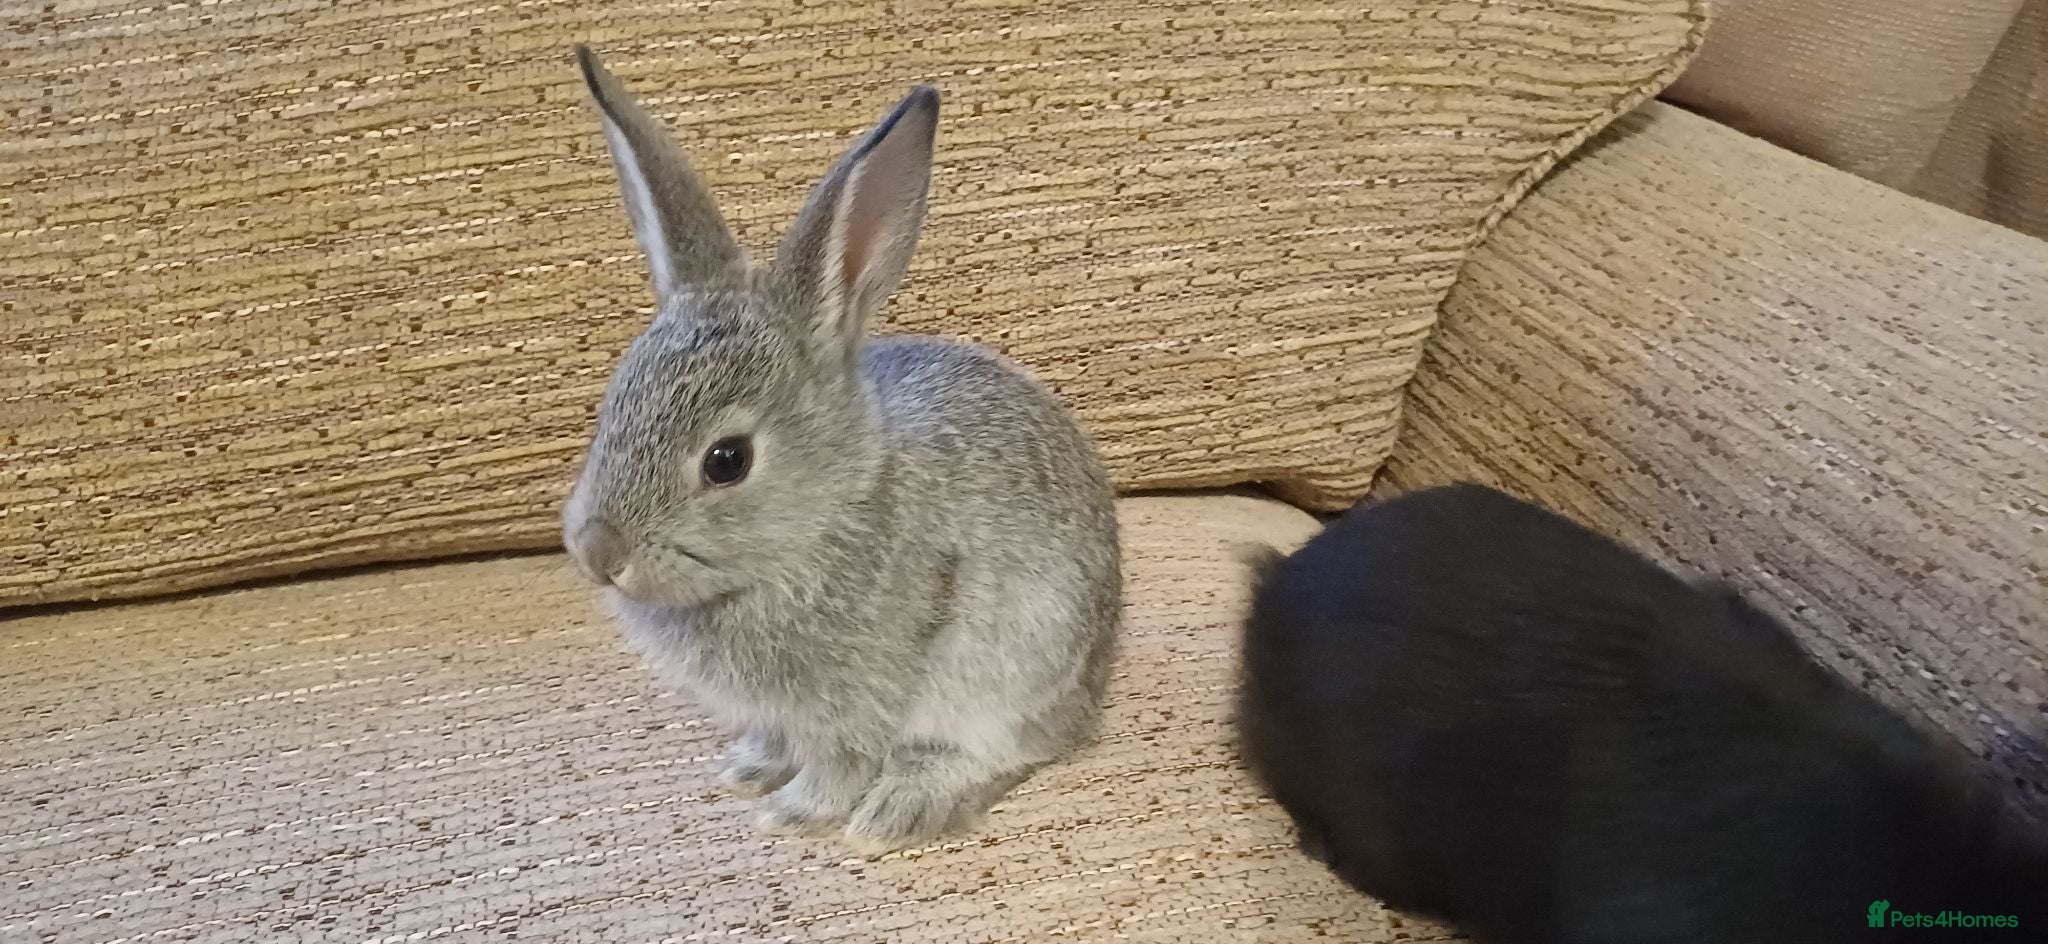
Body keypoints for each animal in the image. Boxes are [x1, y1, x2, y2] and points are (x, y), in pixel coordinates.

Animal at [558, 45, 1121, 854]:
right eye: (611, 405)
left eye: (727, 460)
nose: (598, 553)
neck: (827, 516)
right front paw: (748, 770)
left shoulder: (856, 705)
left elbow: (841, 760)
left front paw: (796, 812)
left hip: (1015, 668)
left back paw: (902, 808)